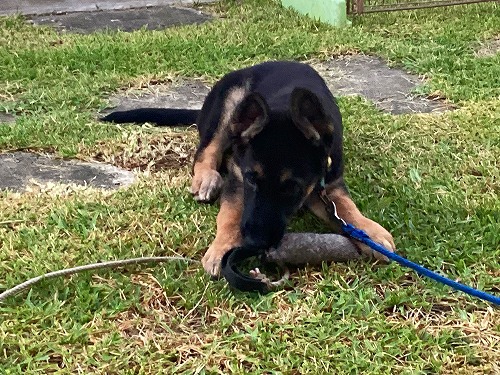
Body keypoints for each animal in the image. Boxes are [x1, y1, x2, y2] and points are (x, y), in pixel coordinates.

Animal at [103, 61, 396, 276]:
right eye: (251, 179)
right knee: (205, 151)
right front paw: (222, 247)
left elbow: (347, 209)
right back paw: (207, 179)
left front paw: (370, 233)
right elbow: (231, 213)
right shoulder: (237, 176)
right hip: (229, 105)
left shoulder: (330, 183)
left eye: (292, 188)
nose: (255, 242)